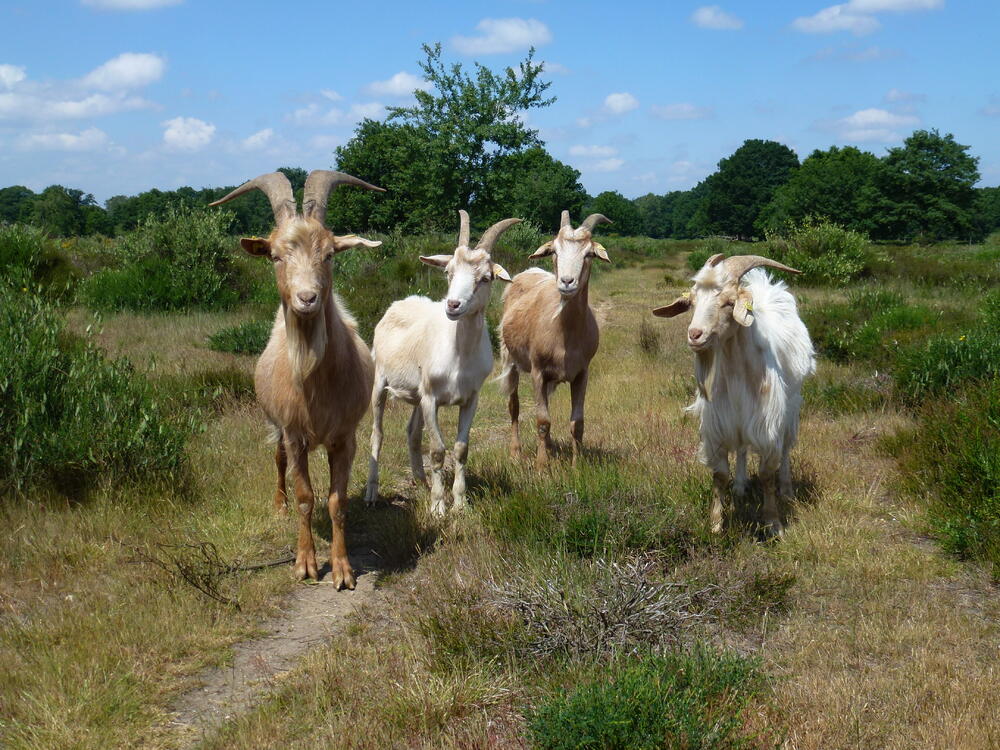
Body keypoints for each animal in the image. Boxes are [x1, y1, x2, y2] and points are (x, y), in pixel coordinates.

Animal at [210, 170, 383, 587]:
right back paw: (279, 506)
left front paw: (342, 569)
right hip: (275, 426)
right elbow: (306, 496)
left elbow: (337, 501)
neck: (315, 385)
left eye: (330, 254)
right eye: (276, 255)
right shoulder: (295, 433)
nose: (307, 298)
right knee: (278, 461)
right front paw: (305, 563)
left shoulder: (345, 437)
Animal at [364, 210, 518, 515]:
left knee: (412, 433)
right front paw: (438, 507)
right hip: (381, 381)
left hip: (415, 394)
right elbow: (436, 451)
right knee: (378, 433)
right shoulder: (431, 397)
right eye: (448, 272)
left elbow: (460, 449)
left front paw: (460, 502)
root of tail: (399, 304)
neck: (459, 355)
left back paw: (421, 481)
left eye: (485, 278)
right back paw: (372, 493)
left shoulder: (470, 398)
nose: (453, 305)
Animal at [498, 211, 611, 469]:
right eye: (554, 251)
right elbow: (542, 420)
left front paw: (577, 465)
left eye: (589, 253)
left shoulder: (581, 373)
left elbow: (577, 423)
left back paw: (549, 447)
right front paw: (542, 466)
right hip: (510, 359)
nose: (567, 282)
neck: (564, 333)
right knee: (514, 406)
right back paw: (516, 453)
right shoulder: (538, 371)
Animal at [652, 253, 815, 537]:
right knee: (740, 448)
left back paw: (786, 490)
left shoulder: (766, 424)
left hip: (791, 408)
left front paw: (773, 524)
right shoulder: (719, 424)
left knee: (786, 448)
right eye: (692, 302)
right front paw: (716, 524)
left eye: (729, 303)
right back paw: (740, 487)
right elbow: (719, 475)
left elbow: (767, 474)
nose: (695, 335)